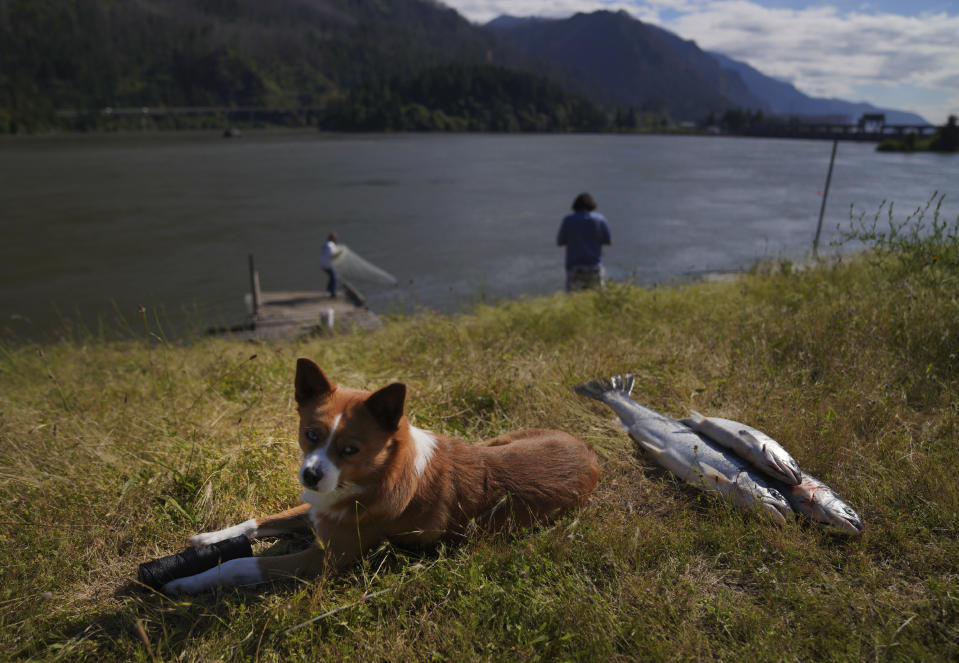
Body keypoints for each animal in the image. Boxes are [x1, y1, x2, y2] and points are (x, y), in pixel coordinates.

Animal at [164, 360, 600, 592]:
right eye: (311, 434)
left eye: (350, 450)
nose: (310, 476)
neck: (376, 473)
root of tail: (590, 452)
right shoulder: (317, 506)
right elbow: (261, 520)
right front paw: (208, 538)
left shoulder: (325, 559)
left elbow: (240, 565)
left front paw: (188, 582)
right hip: (500, 439)